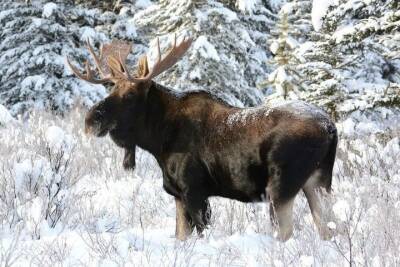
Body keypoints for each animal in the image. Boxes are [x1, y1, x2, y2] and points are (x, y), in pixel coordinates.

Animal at [67, 34, 336, 242]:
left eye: (131, 94)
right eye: (111, 88)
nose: (91, 120)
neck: (159, 141)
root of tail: (330, 128)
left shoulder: (194, 190)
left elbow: (200, 234)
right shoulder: (177, 194)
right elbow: (180, 236)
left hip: (280, 187)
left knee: (287, 232)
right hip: (319, 181)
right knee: (329, 229)